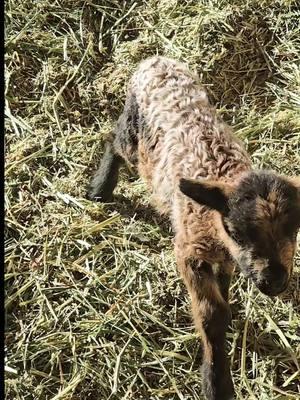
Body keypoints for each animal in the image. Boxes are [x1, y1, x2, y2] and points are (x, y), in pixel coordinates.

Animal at [86, 57, 300, 400]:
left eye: (294, 229)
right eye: (236, 231)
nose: (274, 281)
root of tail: (156, 61)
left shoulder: (226, 259)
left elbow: (223, 294)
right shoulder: (190, 253)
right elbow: (212, 314)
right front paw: (216, 383)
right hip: (134, 130)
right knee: (115, 142)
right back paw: (99, 188)